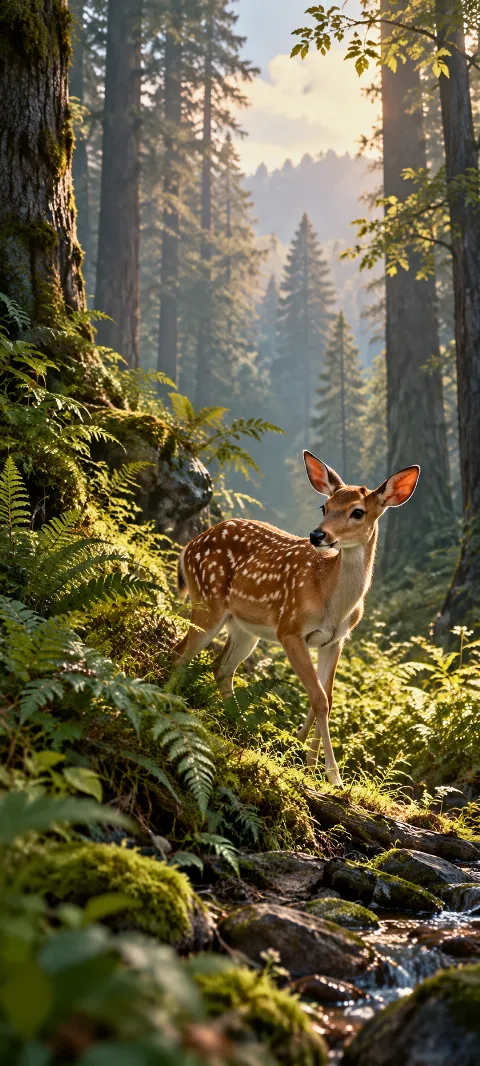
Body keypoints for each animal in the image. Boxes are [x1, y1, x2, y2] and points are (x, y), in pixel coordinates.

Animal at [173, 452, 420, 787]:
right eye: (324, 506)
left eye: (358, 512)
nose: (317, 535)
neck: (331, 601)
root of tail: (189, 545)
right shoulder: (289, 629)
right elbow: (318, 698)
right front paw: (332, 775)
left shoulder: (335, 640)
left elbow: (326, 698)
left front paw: (306, 761)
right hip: (208, 601)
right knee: (182, 654)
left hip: (244, 628)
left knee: (220, 666)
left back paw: (243, 730)